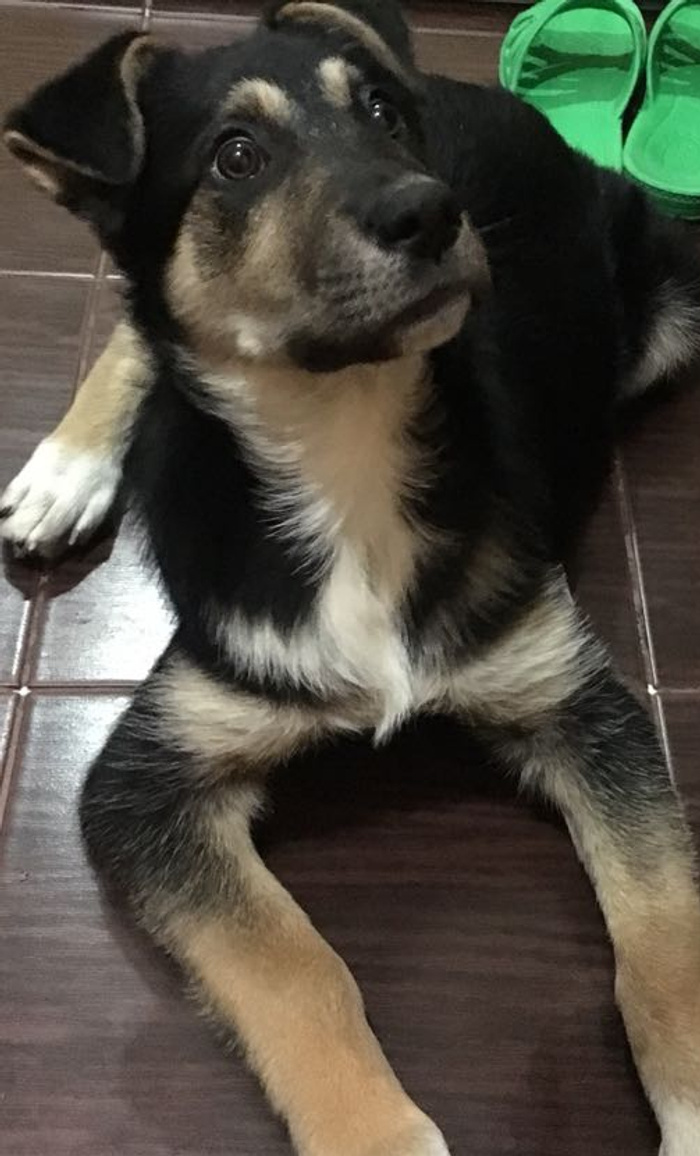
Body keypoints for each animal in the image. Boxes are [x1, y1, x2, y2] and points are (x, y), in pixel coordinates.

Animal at [3, 2, 700, 1153]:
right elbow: (295, 966)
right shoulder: (147, 781)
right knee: (141, 329)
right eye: (235, 157)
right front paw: (381, 1135)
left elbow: (661, 926)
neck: (344, 439)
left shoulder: (576, 698)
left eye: (377, 112)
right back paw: (66, 470)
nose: (428, 212)